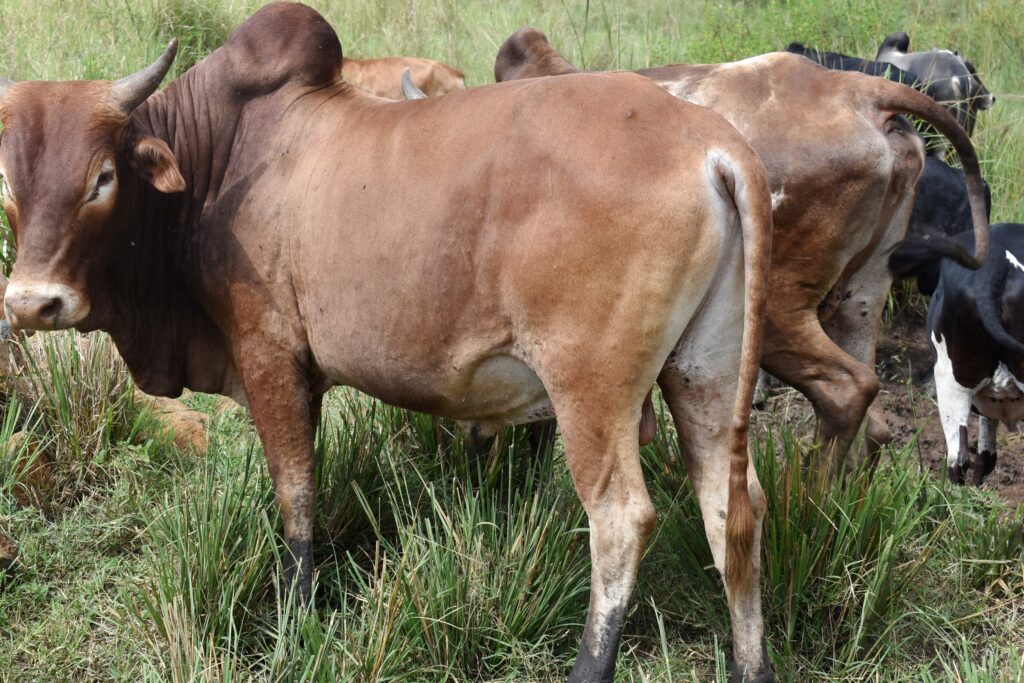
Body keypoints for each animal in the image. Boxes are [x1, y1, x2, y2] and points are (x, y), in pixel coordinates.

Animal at [0, 3, 770, 679]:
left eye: (102, 177)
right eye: (8, 183)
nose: (33, 303)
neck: (220, 163)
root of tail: (711, 142)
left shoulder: (270, 357)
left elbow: (297, 497)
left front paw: (295, 618)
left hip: (591, 394)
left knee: (620, 520)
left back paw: (589, 664)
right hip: (704, 379)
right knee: (734, 510)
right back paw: (750, 664)